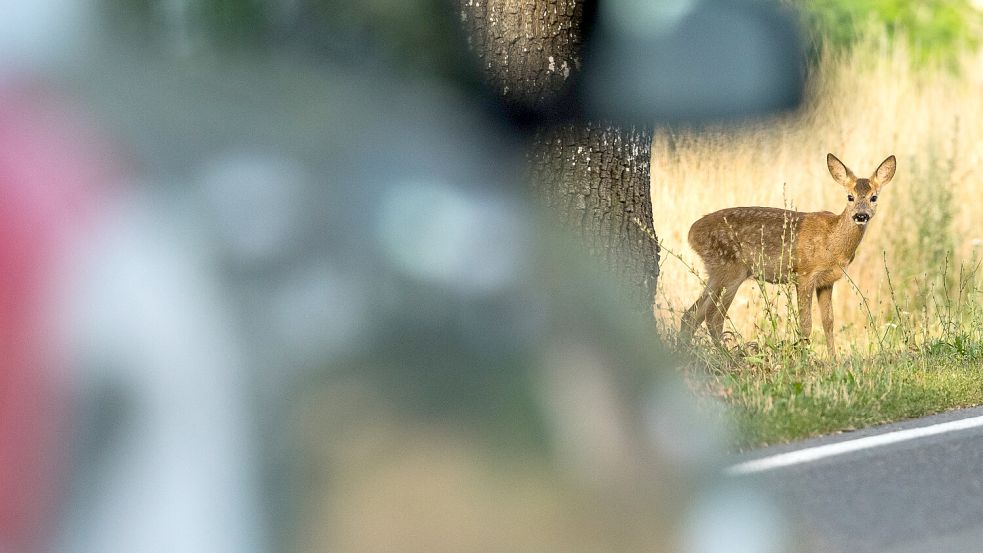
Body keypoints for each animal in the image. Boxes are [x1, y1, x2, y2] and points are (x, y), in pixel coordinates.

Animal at [679, 153, 897, 357]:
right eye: (850, 196)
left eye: (874, 197)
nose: (861, 215)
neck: (832, 241)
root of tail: (692, 233)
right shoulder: (805, 274)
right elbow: (806, 324)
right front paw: (804, 359)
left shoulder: (827, 281)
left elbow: (828, 322)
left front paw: (833, 361)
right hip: (731, 269)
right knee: (713, 317)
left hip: (716, 272)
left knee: (692, 315)